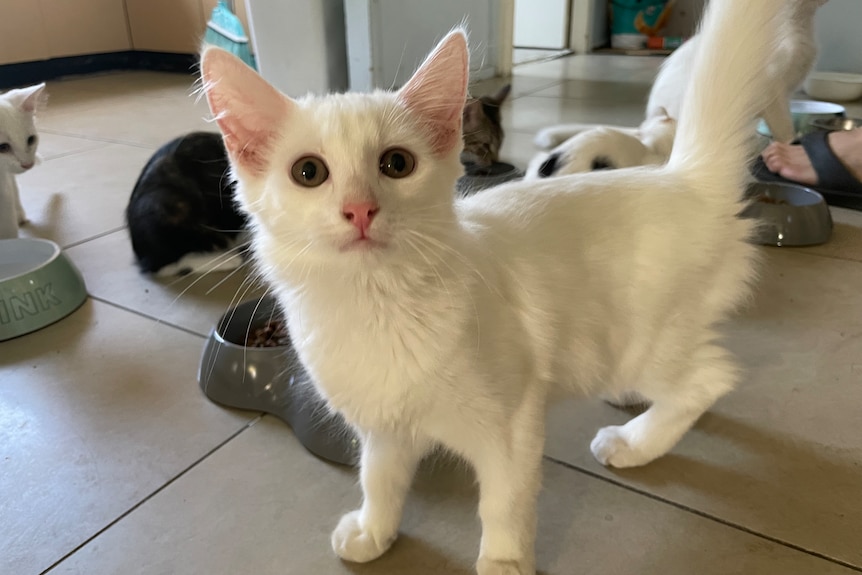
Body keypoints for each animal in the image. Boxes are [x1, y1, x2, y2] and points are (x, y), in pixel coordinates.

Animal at [202, 0, 788, 572]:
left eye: (396, 164)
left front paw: (504, 560)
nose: (360, 209)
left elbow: (504, 501)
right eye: (308, 172)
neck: (377, 304)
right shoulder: (384, 426)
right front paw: (374, 530)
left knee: (710, 379)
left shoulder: (512, 424)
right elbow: (380, 478)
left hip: (642, 342)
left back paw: (635, 442)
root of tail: (681, 178)